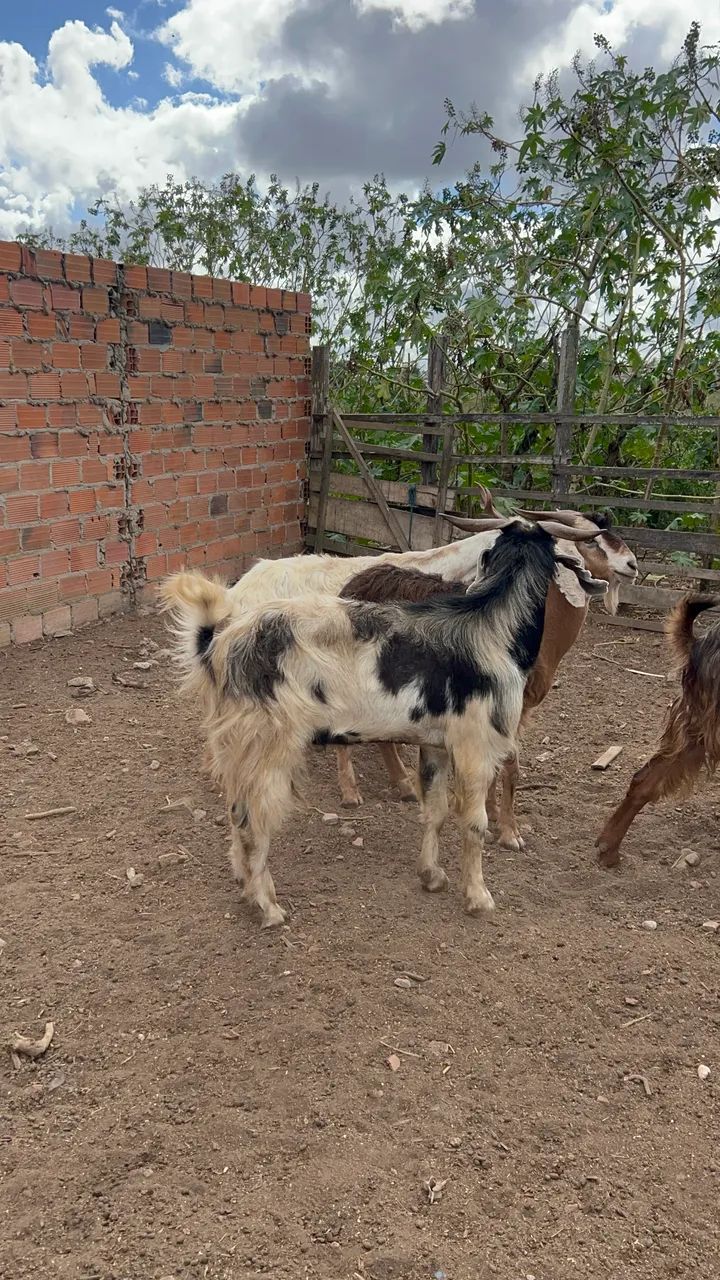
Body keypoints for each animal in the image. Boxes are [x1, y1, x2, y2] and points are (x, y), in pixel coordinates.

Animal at [162, 518, 606, 927]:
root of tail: (218, 645)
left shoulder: (435, 743)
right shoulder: (475, 747)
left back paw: (245, 884)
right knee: (253, 820)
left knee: (236, 810)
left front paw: (432, 875)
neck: (493, 629)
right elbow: (474, 822)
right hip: (270, 744)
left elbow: (435, 810)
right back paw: (268, 907)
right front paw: (479, 897)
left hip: (238, 746)